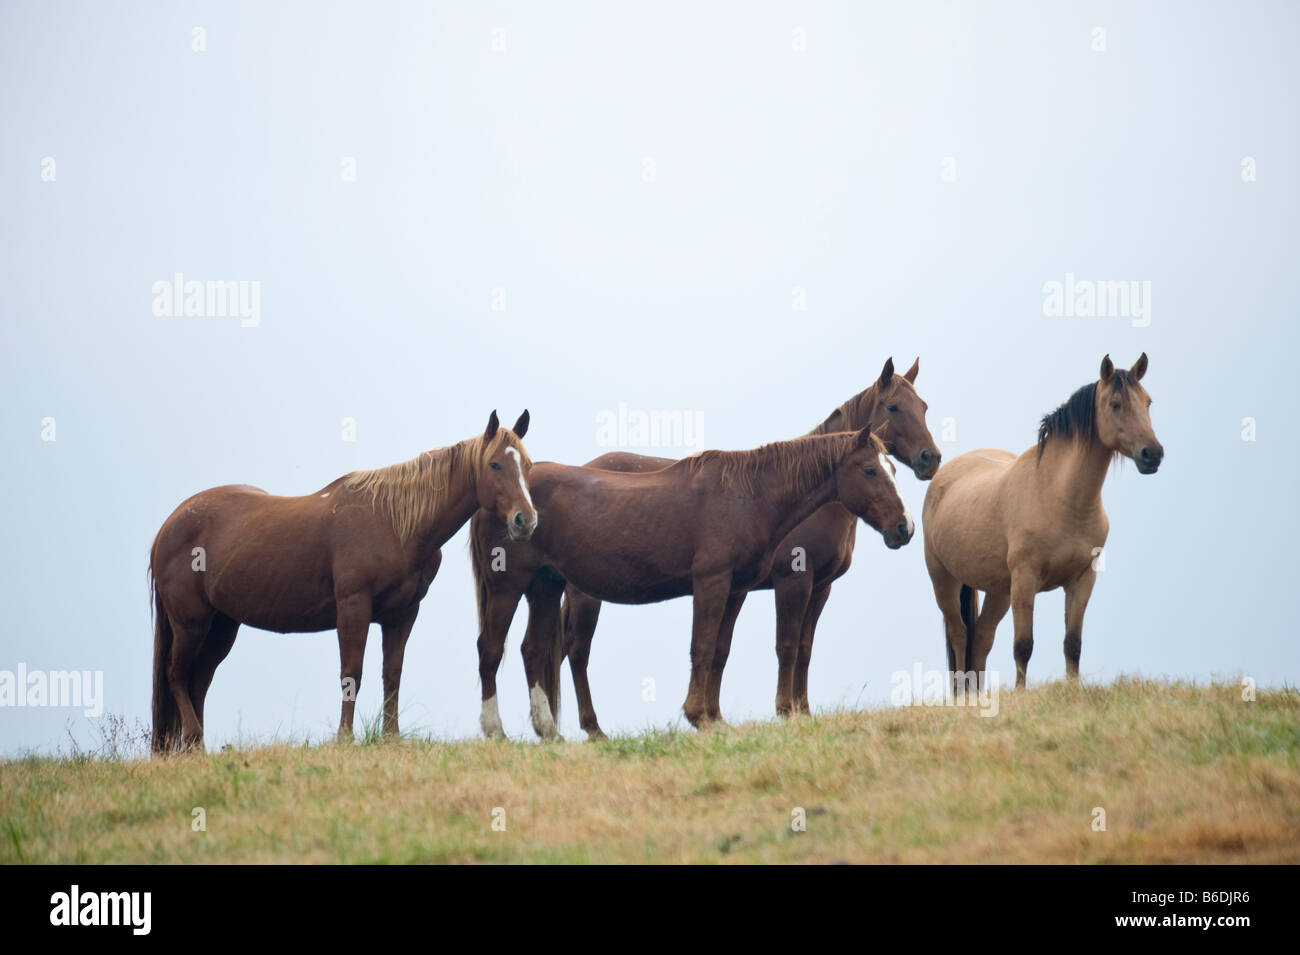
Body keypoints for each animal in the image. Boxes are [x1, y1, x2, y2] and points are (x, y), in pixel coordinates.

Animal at [149, 410, 535, 753]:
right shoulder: (354, 608)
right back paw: (193, 739)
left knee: (199, 680)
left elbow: (392, 674)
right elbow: (352, 673)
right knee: (176, 674)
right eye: (495, 465)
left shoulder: (402, 615)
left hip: (222, 625)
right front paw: (345, 737)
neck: (393, 522)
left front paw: (391, 736)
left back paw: (195, 746)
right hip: (191, 623)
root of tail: (168, 526)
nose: (525, 520)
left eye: (528, 466)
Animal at [470, 426, 915, 738]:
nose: (905, 527)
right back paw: (499, 731)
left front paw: (714, 718)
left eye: (893, 468)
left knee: (533, 650)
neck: (747, 495)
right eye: (870, 470)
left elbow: (719, 651)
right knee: (495, 649)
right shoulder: (713, 584)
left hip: (545, 587)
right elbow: (701, 648)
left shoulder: (735, 590)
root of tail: (497, 497)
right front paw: (697, 716)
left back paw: (550, 731)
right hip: (511, 587)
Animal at [564, 358, 941, 738]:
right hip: (585, 595)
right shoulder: (792, 582)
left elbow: (797, 648)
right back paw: (592, 727)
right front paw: (785, 710)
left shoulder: (818, 587)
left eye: (924, 407)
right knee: (577, 651)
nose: (931, 459)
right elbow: (785, 646)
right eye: (893, 407)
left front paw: (799, 711)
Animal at [925, 356, 1170, 691]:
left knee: (983, 637)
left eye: (1148, 402)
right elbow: (1023, 645)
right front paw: (1021, 693)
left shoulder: (1082, 579)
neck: (1059, 497)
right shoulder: (1025, 579)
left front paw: (1073, 689)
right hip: (944, 580)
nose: (1152, 454)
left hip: (999, 591)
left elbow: (1072, 643)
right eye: (1116, 404)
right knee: (960, 634)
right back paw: (963, 695)